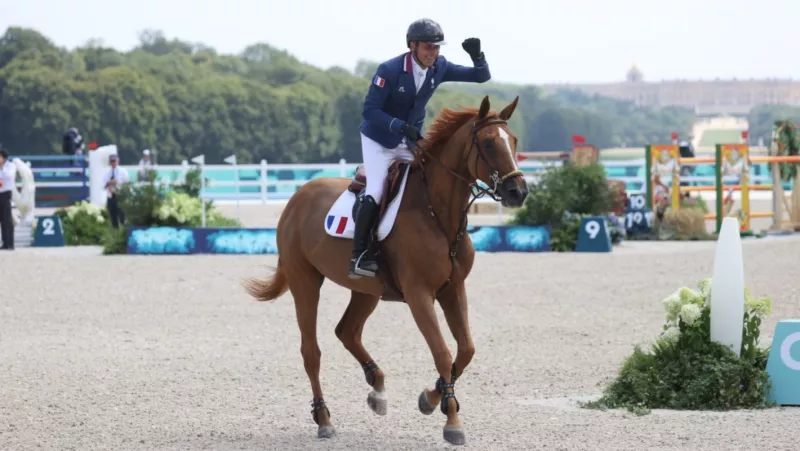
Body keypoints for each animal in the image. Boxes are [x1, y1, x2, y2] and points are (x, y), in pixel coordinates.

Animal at [244, 94, 532, 444]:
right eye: (489, 143)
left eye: (513, 141)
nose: (518, 192)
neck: (437, 213)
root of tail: (297, 196)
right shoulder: (419, 294)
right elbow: (442, 352)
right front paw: (451, 421)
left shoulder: (453, 289)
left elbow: (465, 351)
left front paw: (432, 398)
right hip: (305, 282)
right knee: (311, 351)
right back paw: (324, 418)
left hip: (367, 290)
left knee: (347, 331)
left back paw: (377, 388)